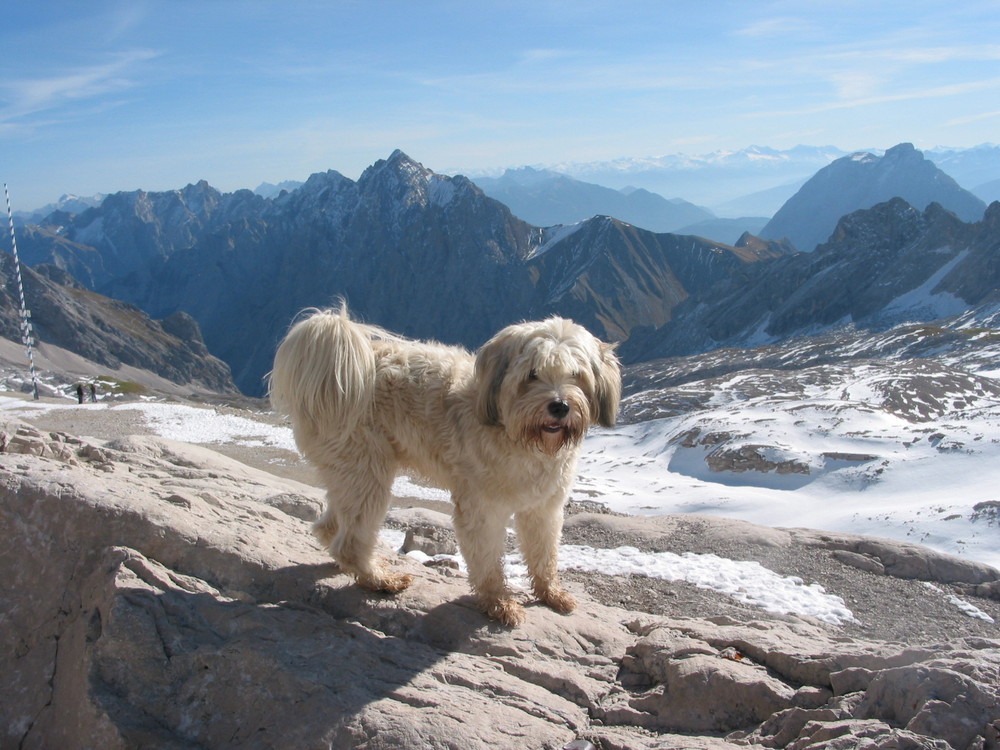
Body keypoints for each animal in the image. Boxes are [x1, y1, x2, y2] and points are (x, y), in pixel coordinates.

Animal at [270, 306, 620, 628]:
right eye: (532, 374)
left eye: (576, 374)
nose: (559, 406)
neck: (517, 435)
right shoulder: (482, 510)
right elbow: (487, 562)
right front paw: (499, 604)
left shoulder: (543, 508)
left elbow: (544, 555)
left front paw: (550, 593)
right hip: (367, 473)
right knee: (351, 541)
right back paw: (380, 580)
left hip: (350, 473)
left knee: (329, 527)